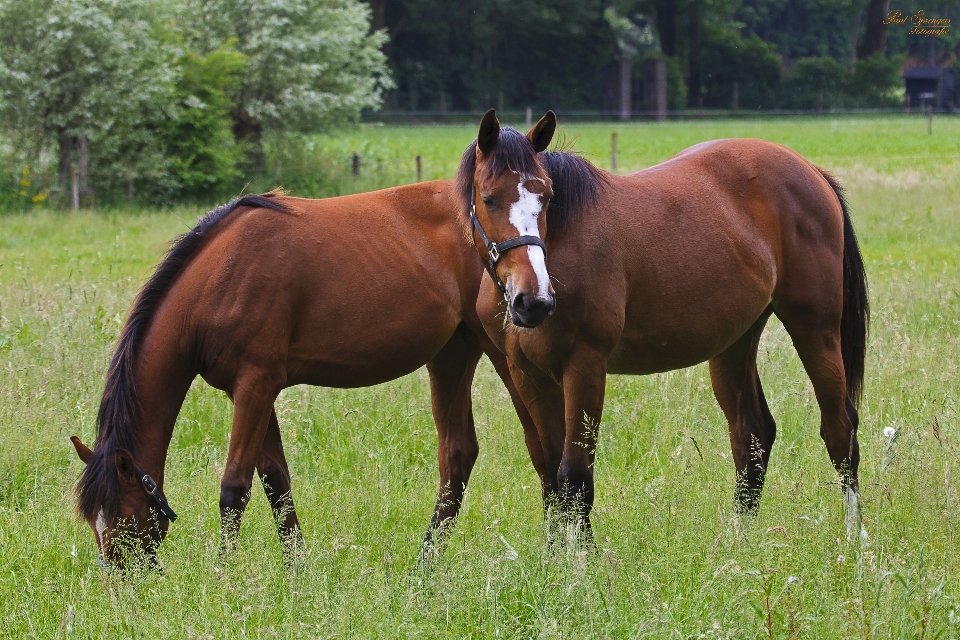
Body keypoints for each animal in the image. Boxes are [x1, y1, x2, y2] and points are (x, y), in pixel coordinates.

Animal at [70, 188, 544, 568]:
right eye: (93, 522)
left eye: (122, 518)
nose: (120, 584)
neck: (218, 278)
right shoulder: (250, 392)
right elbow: (275, 483)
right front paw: (297, 570)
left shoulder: (255, 386)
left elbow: (235, 487)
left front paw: (223, 574)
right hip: (451, 356)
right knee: (459, 454)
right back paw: (427, 563)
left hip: (501, 354)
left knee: (539, 442)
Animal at [458, 111, 872, 540]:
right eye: (489, 198)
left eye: (547, 197)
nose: (533, 301)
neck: (561, 244)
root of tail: (811, 171)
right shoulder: (528, 376)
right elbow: (551, 476)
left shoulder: (584, 368)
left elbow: (574, 477)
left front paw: (582, 558)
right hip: (735, 343)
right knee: (752, 434)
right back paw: (739, 542)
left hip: (815, 330)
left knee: (840, 430)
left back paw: (854, 537)